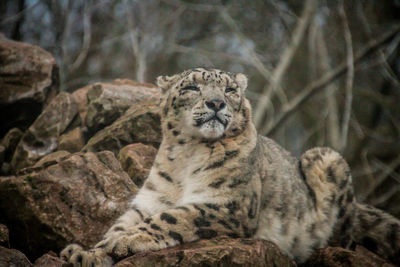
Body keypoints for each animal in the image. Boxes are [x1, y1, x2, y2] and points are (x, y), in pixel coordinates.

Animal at [60, 68, 400, 266]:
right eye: (192, 88)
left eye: (230, 90)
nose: (216, 103)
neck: (186, 155)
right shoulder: (149, 201)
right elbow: (120, 223)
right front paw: (87, 252)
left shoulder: (230, 203)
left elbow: (175, 216)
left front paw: (127, 240)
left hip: (325, 158)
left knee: (347, 233)